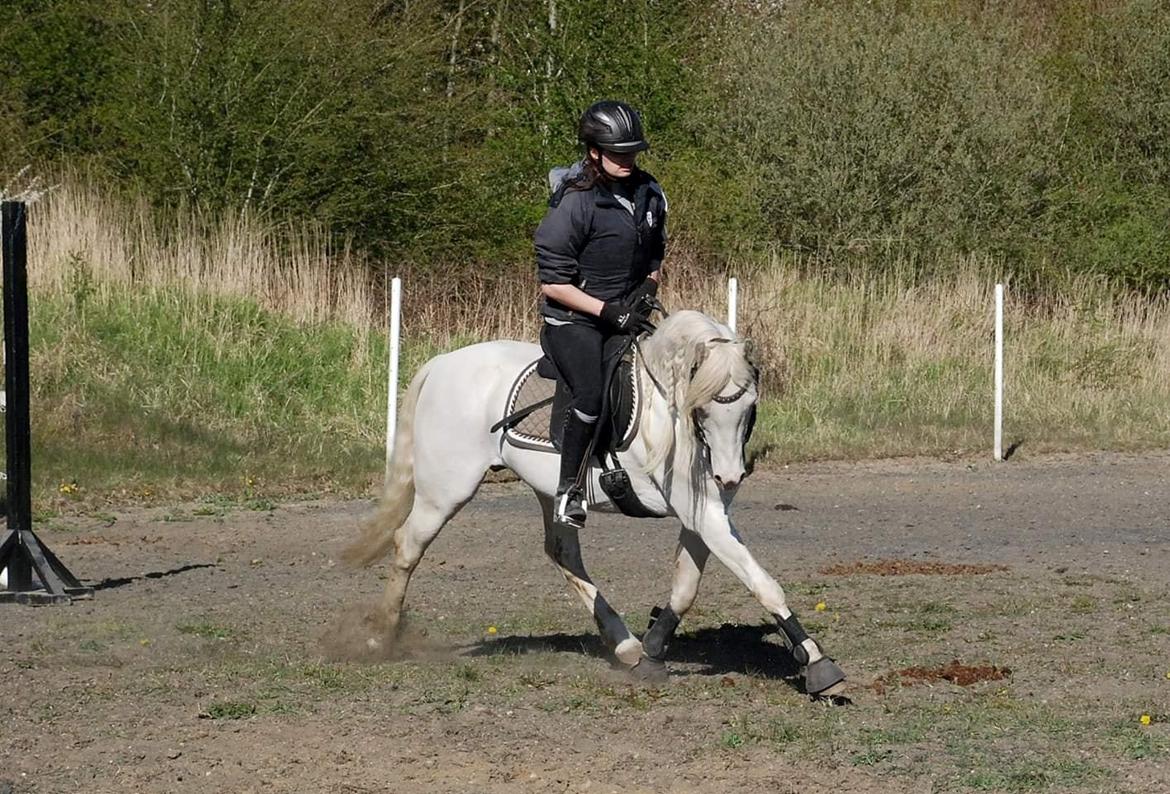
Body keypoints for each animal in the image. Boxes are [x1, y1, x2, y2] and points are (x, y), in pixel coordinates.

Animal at [341, 311, 847, 696]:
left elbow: (686, 588)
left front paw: (654, 648)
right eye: (703, 408)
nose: (729, 476)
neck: (670, 414)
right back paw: (381, 638)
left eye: (750, 407)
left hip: (551, 491)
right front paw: (819, 665)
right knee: (408, 544)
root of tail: (442, 364)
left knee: (562, 552)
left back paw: (626, 646)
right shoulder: (701, 512)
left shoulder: (705, 513)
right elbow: (762, 583)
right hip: (446, 490)